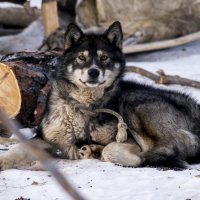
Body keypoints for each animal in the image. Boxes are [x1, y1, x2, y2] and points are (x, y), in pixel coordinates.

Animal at [0, 21, 200, 170]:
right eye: (81, 57)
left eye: (104, 58)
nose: (94, 72)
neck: (85, 108)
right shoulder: (46, 139)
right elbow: (18, 149)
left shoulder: (128, 139)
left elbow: (113, 150)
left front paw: (123, 156)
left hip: (135, 106)